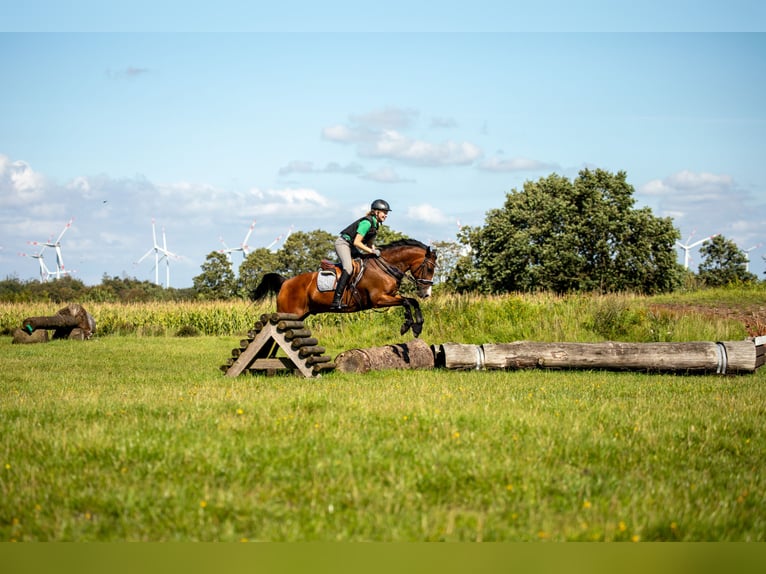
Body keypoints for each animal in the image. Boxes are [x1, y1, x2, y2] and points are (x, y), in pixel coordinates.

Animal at [249, 240, 436, 338]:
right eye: (429, 268)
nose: (426, 293)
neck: (385, 267)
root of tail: (286, 282)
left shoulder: (391, 296)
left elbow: (412, 301)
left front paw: (417, 327)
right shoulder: (379, 299)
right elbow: (406, 302)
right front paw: (407, 326)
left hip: (297, 316)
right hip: (287, 312)